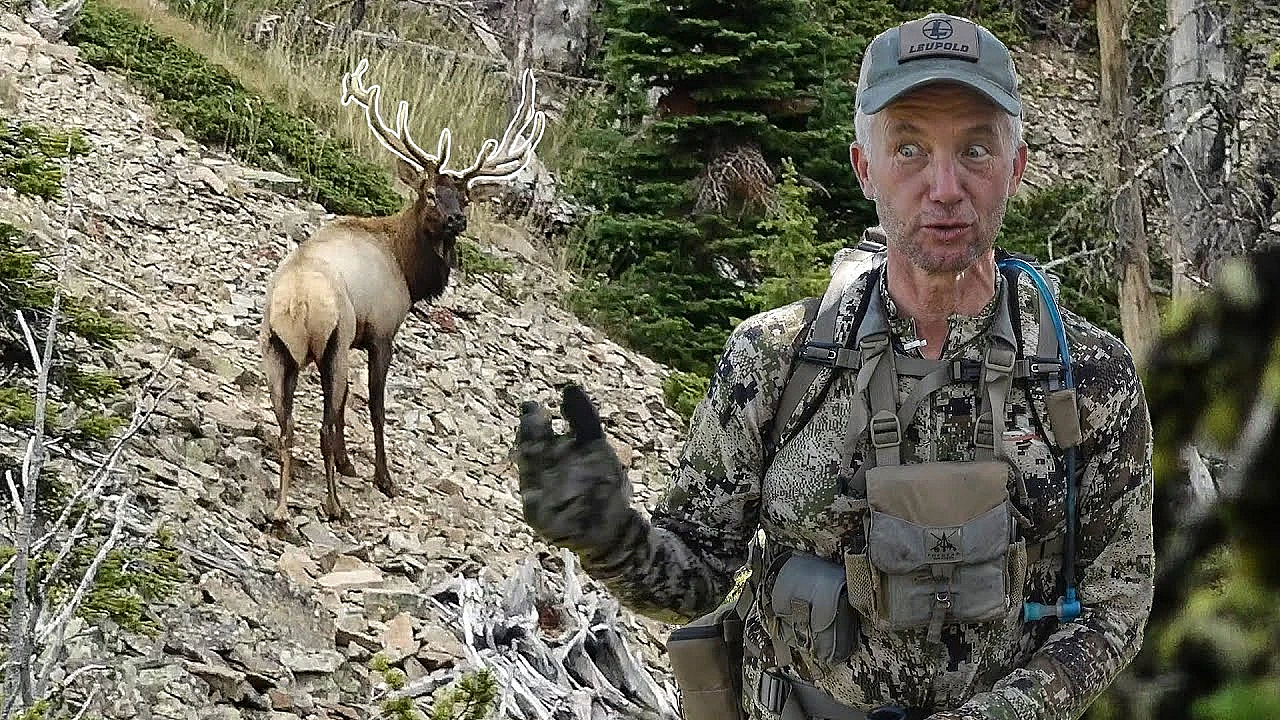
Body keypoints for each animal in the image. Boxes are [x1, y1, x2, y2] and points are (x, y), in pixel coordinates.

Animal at [259, 57, 547, 524]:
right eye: (429, 193)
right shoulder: (379, 332)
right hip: (332, 344)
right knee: (320, 425)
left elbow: (347, 406)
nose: (456, 221)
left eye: (466, 198)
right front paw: (383, 477)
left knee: (286, 426)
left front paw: (349, 463)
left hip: (276, 349)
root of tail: (297, 304)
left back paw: (283, 508)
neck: (407, 269)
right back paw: (334, 504)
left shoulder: (356, 338)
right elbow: (375, 406)